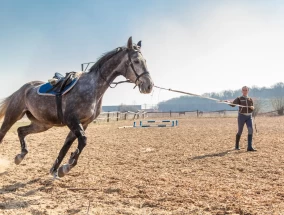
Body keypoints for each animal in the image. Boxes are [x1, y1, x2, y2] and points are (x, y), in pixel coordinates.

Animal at [0, 36, 153, 178]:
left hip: (42, 124)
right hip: (13, 116)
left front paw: (58, 169)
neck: (93, 87)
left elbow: (67, 145)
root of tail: (22, 89)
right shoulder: (72, 120)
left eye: (145, 61)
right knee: (3, 133)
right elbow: (82, 141)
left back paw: (20, 156)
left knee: (21, 130)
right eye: (136, 61)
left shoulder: (83, 123)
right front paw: (67, 165)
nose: (149, 86)